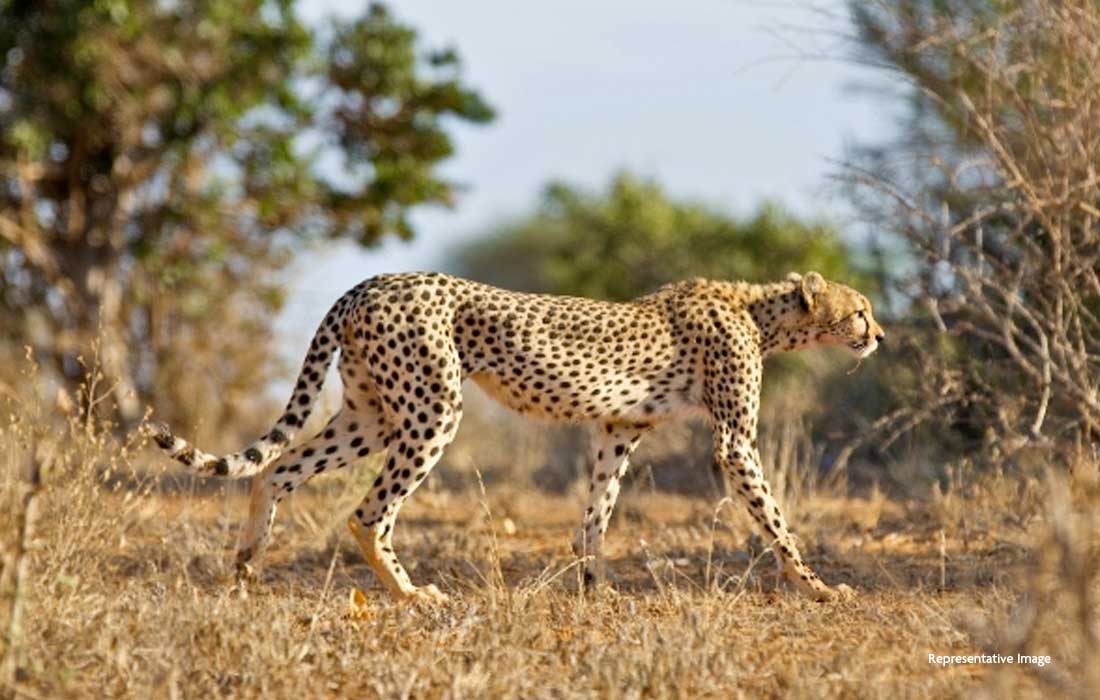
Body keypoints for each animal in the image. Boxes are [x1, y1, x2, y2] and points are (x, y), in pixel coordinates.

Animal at [148, 270, 884, 603]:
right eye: (859, 310)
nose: (878, 334)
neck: (760, 312)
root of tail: (370, 281)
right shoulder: (733, 440)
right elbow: (776, 519)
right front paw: (819, 586)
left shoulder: (618, 428)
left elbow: (596, 514)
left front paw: (594, 584)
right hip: (433, 408)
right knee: (367, 511)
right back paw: (412, 595)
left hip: (371, 413)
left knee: (279, 468)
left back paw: (247, 562)